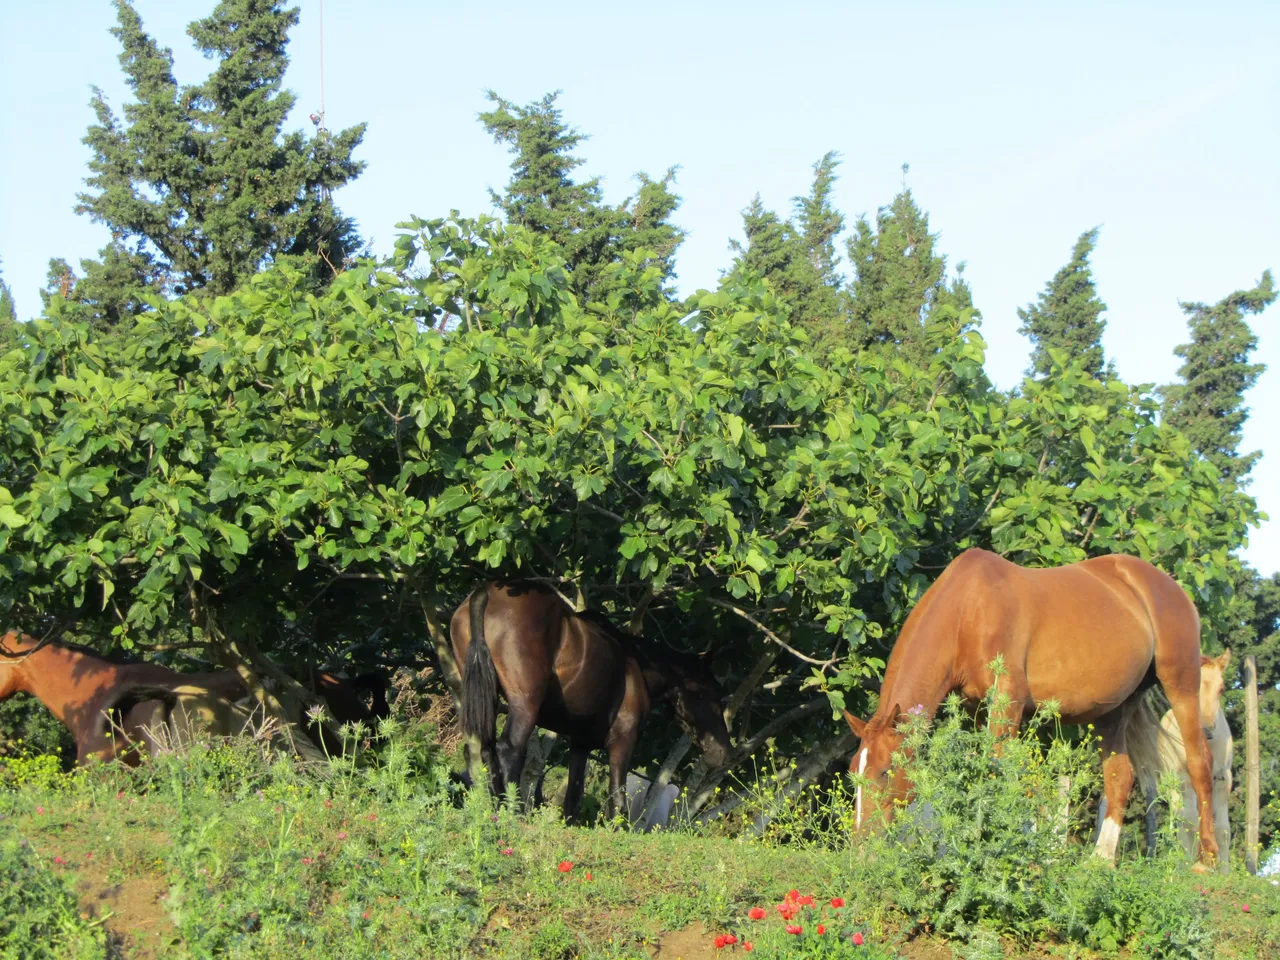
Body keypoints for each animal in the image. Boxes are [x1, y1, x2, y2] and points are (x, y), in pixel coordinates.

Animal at [449, 581, 732, 822]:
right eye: (710, 693)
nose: (723, 752)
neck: (637, 666)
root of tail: (486, 592)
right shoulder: (623, 742)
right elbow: (617, 802)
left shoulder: (580, 743)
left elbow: (573, 799)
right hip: (524, 705)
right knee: (509, 750)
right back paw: (514, 814)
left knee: (486, 751)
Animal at [841, 548, 1220, 870]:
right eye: (852, 772)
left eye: (886, 771)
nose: (861, 850)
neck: (968, 611)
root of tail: (1164, 584)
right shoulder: (978, 711)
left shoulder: (1007, 704)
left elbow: (1000, 772)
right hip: (1113, 709)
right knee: (1119, 776)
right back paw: (1100, 861)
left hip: (1181, 683)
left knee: (1199, 762)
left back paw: (1207, 860)